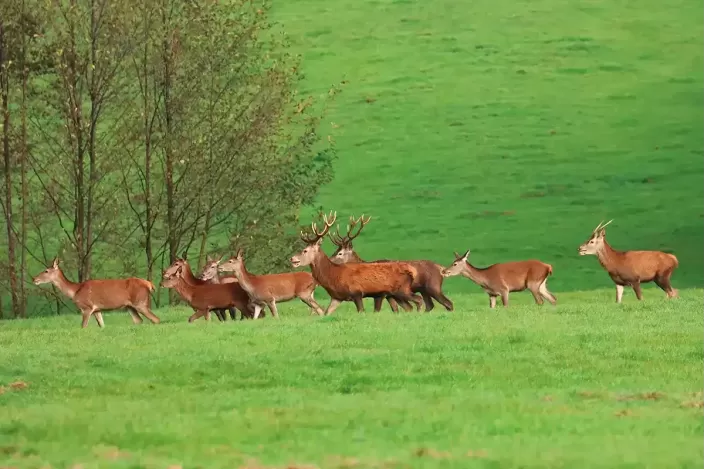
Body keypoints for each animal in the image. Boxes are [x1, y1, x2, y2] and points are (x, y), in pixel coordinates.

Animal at [32, 256, 161, 330]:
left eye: (46, 271)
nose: (34, 279)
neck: (75, 291)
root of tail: (149, 284)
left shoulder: (87, 307)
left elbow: (83, 326)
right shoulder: (97, 310)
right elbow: (102, 325)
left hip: (140, 302)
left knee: (156, 319)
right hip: (130, 306)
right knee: (139, 320)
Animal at [288, 211, 420, 314]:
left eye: (305, 250)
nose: (292, 259)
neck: (333, 275)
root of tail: (411, 271)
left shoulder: (357, 293)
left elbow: (362, 311)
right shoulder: (336, 297)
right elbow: (326, 313)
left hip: (400, 290)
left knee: (417, 300)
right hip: (394, 294)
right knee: (408, 307)